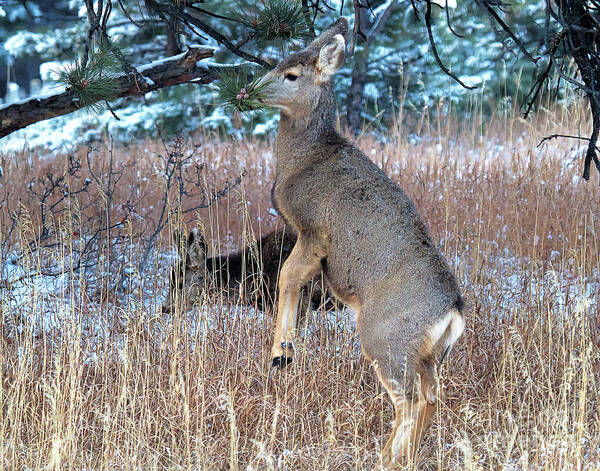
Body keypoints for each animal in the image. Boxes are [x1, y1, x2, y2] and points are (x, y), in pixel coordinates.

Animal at [256, 17, 464, 464]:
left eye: (291, 74)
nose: (249, 90)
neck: (303, 160)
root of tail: (453, 311)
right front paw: (285, 349)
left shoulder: (315, 230)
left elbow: (286, 277)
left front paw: (281, 351)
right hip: (425, 353)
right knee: (433, 396)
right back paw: (400, 455)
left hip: (383, 336)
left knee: (410, 400)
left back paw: (386, 458)